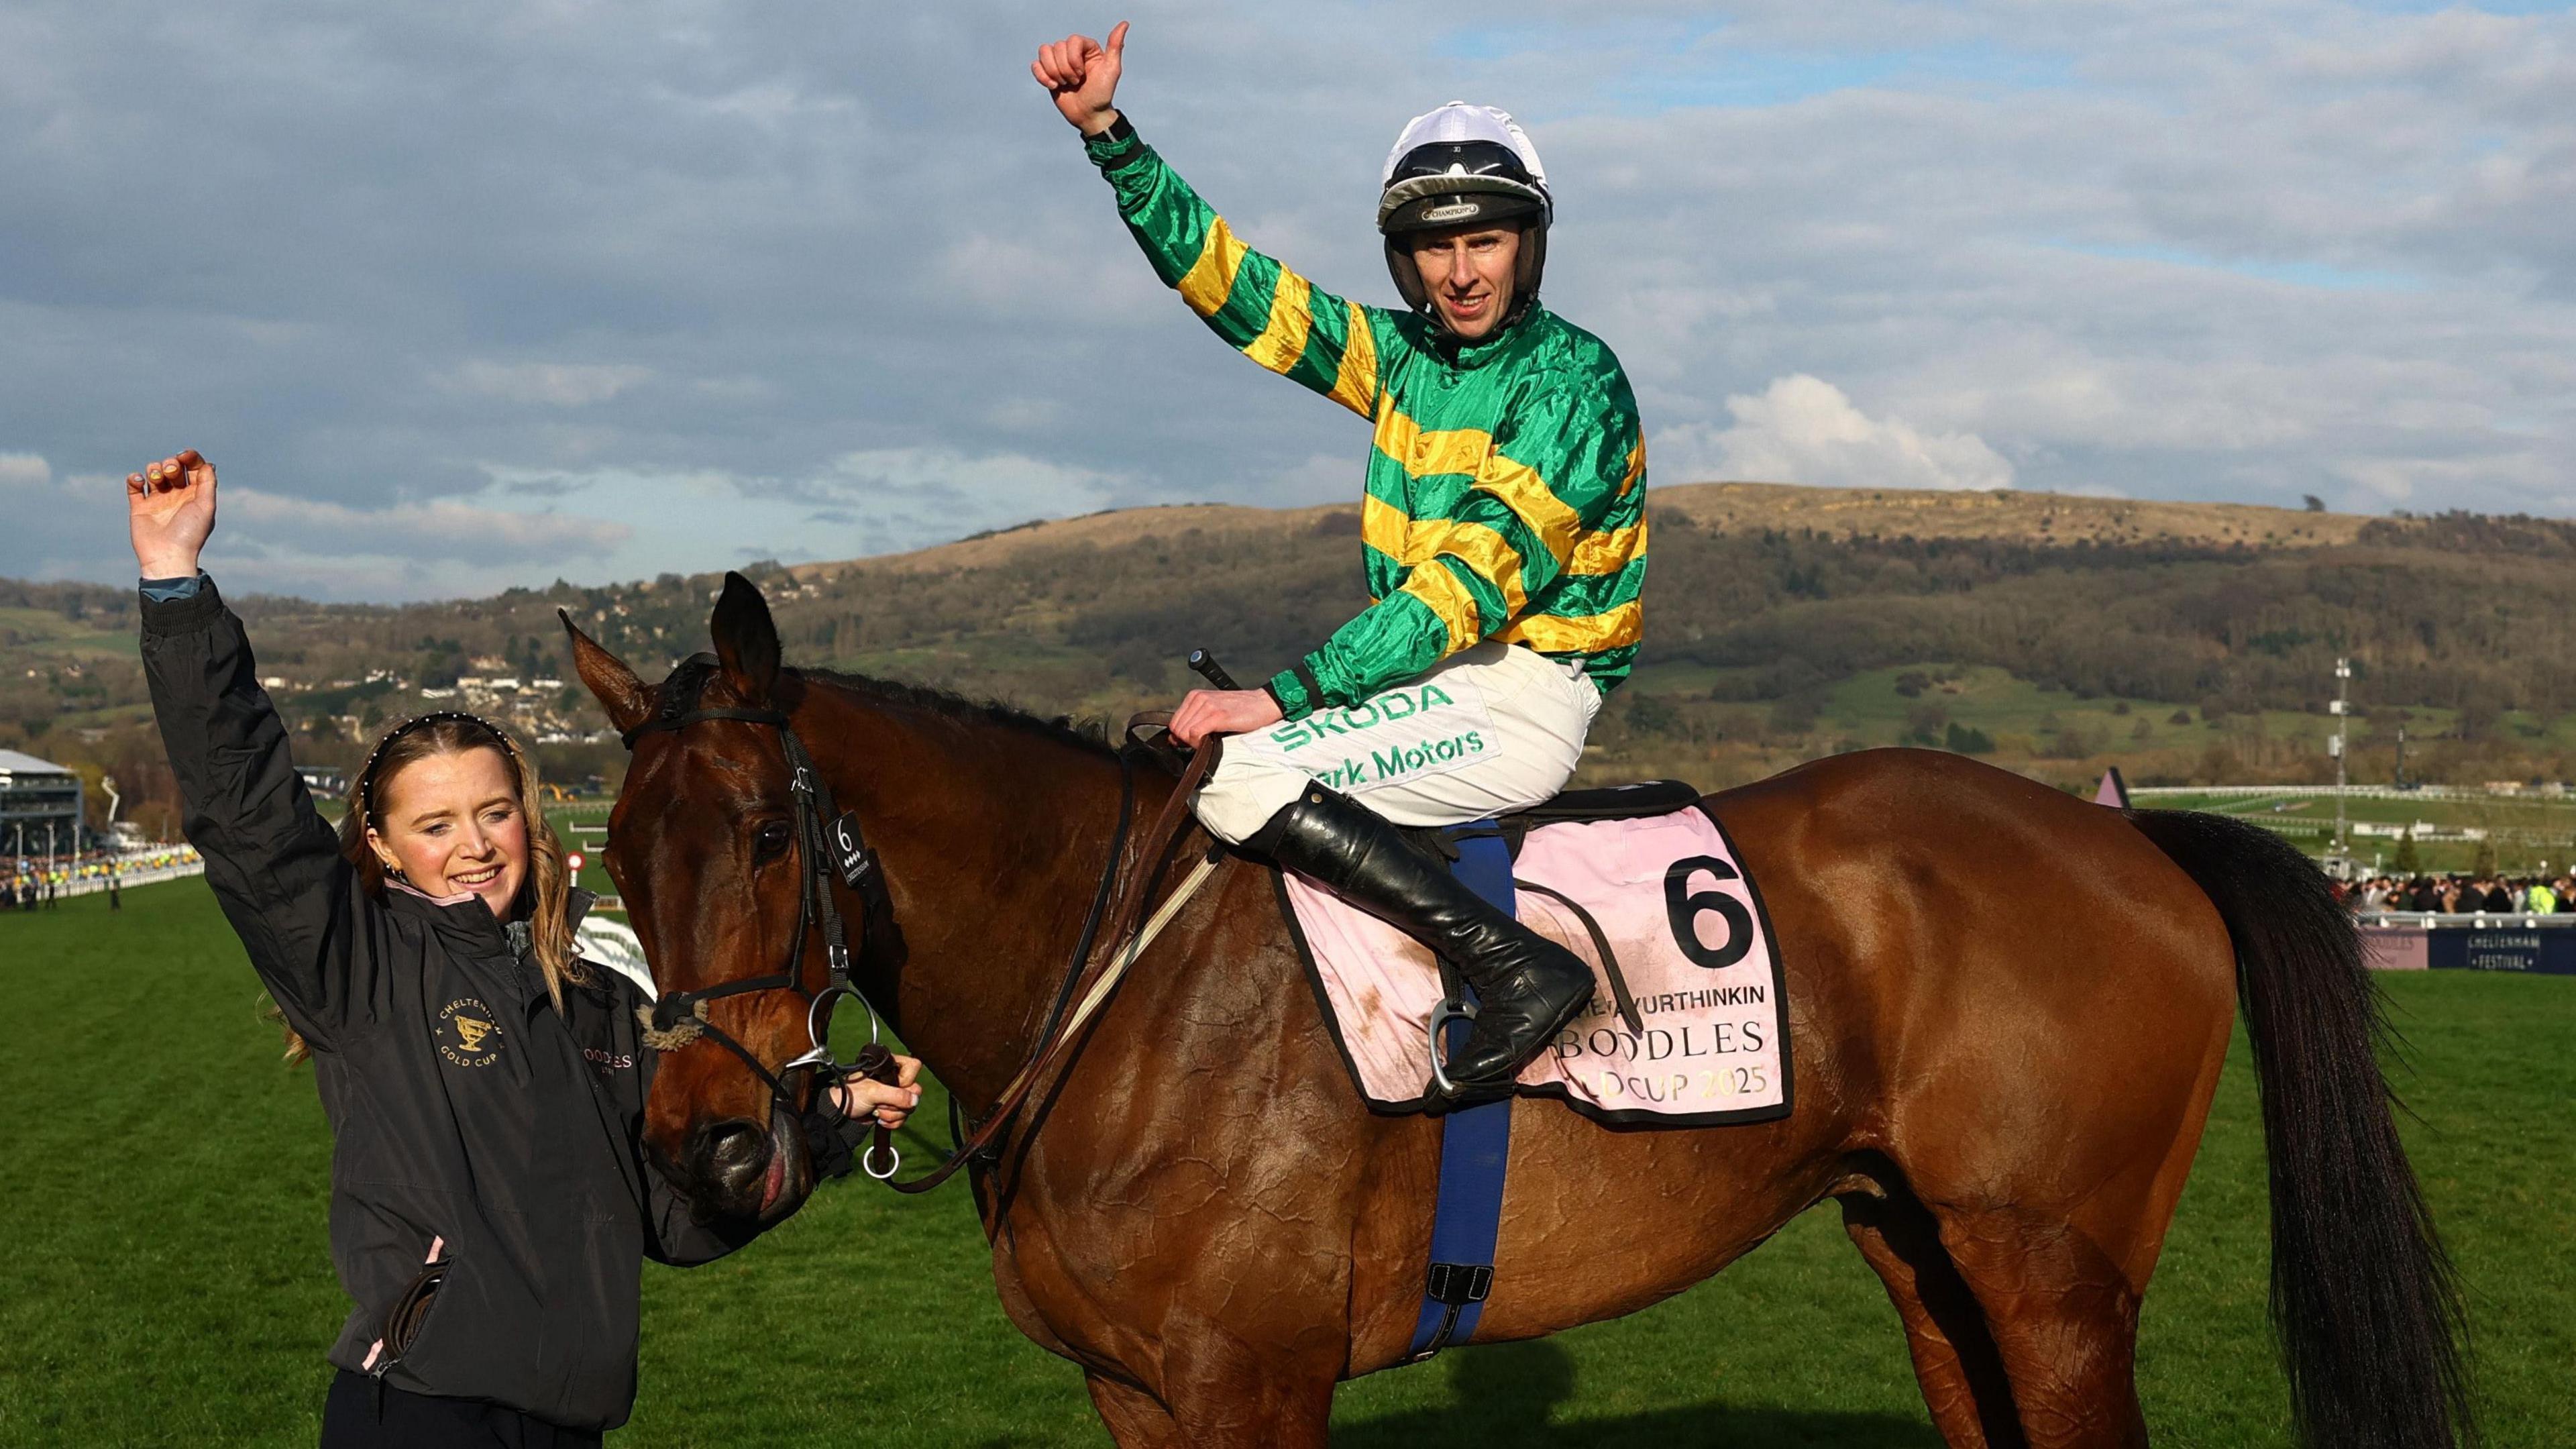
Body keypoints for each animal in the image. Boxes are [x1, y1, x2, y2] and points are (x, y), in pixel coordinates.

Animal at [569, 575, 2473, 1444]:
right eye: (614, 855)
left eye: (764, 837)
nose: (702, 1149)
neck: (1109, 980)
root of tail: (2121, 829)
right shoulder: (1131, 1389)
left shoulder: (1251, 1383)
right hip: (1927, 1255)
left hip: (2060, 1278)